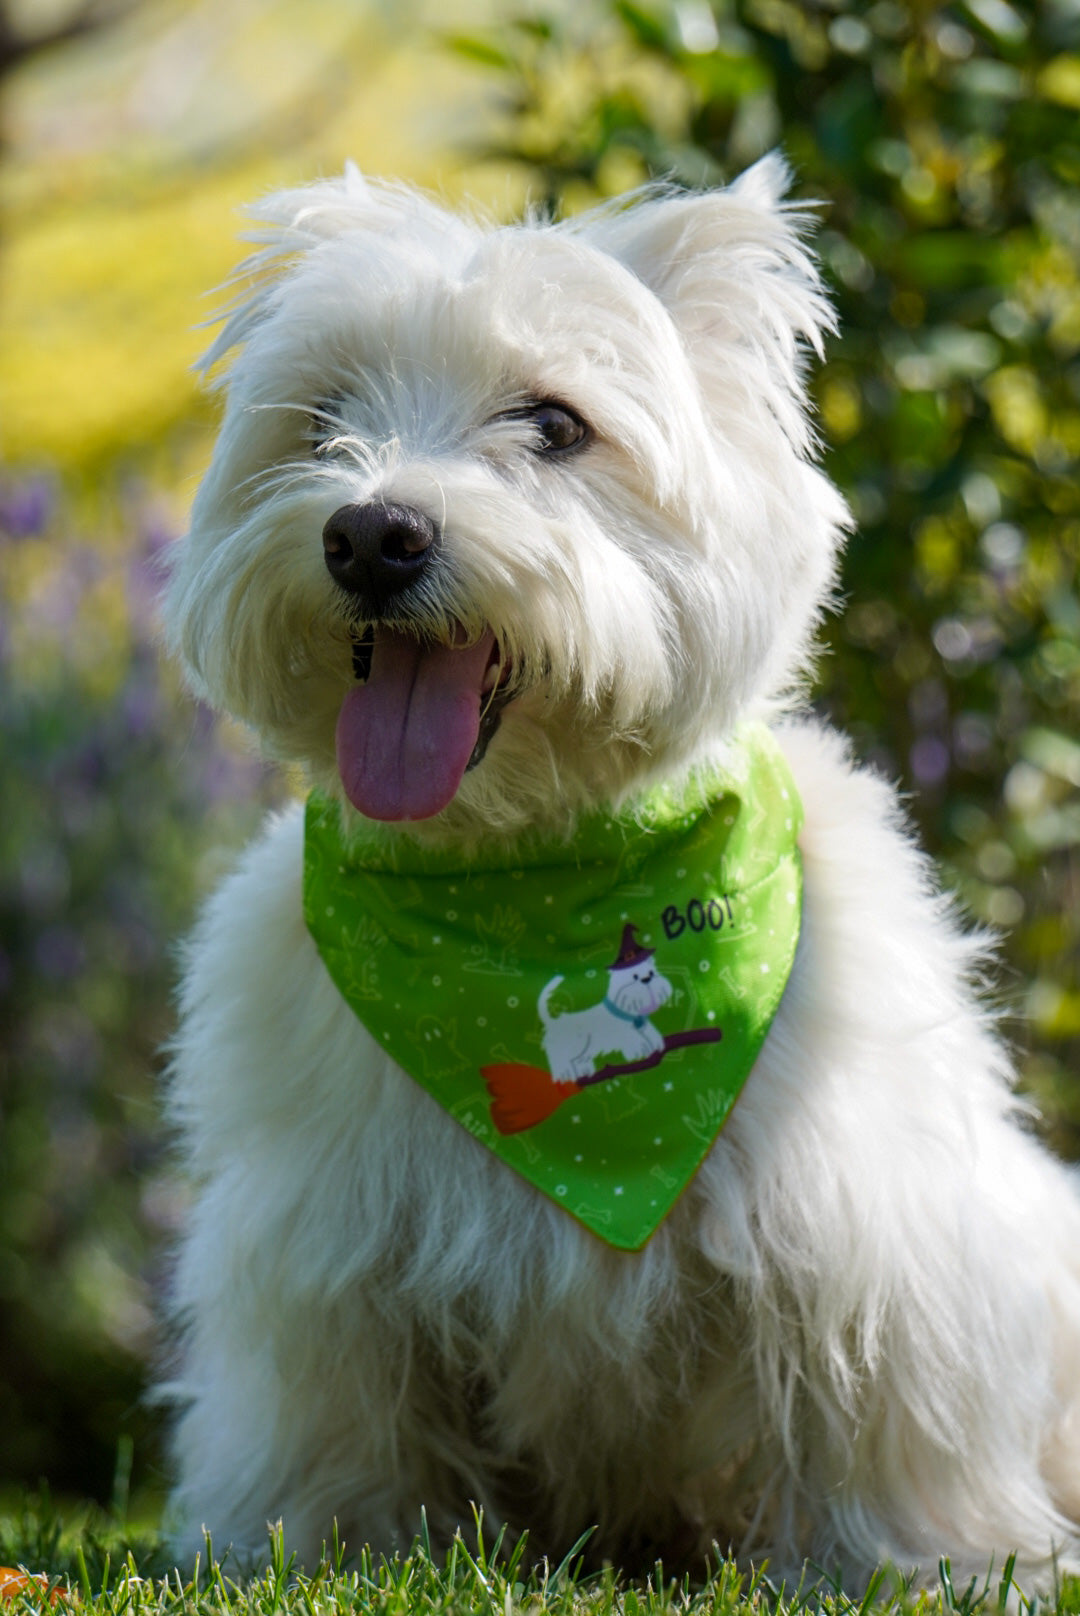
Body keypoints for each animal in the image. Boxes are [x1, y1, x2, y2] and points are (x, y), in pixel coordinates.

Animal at [162, 157, 1080, 1583]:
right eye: (321, 421)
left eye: (555, 425)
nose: (371, 534)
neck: (537, 876)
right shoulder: (329, 1239)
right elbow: (350, 1413)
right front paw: (337, 1541)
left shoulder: (857, 1222)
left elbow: (871, 1396)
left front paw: (916, 1559)